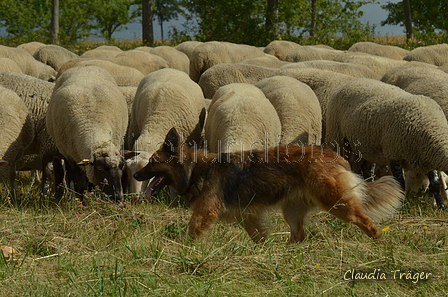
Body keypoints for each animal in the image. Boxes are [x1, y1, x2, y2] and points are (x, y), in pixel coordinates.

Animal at [46, 66, 131, 198]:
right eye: (100, 169)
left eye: (122, 166)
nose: (118, 197)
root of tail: (85, 66)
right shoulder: (71, 157)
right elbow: (80, 182)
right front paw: (81, 200)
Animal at [133, 128, 402, 243]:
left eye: (152, 162)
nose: (135, 174)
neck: (197, 169)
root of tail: (335, 156)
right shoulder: (247, 215)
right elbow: (259, 236)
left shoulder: (204, 212)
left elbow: (189, 233)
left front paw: (178, 248)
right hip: (291, 210)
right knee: (299, 235)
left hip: (335, 202)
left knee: (365, 220)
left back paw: (378, 242)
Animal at [326, 78, 448, 208]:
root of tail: (349, 82)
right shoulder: (394, 155)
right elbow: (400, 186)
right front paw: (401, 206)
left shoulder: (428, 160)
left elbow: (435, 185)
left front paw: (441, 207)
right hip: (338, 138)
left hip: (367, 147)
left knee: (367, 171)